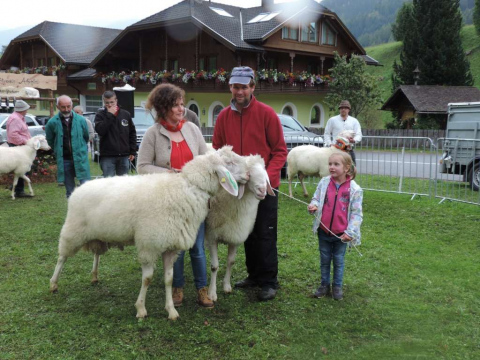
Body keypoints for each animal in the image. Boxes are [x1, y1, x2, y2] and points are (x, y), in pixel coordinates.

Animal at [50, 148, 249, 322]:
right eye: (229, 162)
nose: (248, 175)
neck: (187, 187)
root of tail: (79, 188)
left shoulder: (171, 247)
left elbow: (169, 279)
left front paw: (171, 310)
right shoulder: (149, 245)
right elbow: (147, 279)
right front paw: (141, 309)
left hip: (97, 235)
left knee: (96, 254)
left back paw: (94, 275)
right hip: (73, 231)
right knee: (61, 258)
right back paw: (53, 283)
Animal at [206, 155, 274, 300]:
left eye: (264, 172)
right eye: (250, 174)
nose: (262, 190)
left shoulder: (236, 234)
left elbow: (231, 261)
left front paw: (226, 286)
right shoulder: (211, 236)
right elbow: (214, 266)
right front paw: (212, 293)